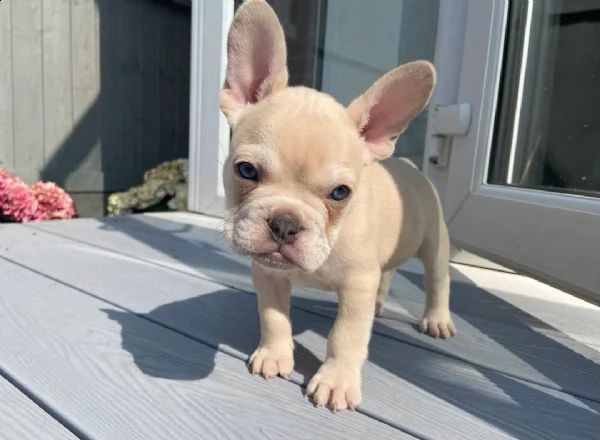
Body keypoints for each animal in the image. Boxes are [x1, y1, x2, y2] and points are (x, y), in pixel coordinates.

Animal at [219, 0, 454, 412]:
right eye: (246, 170)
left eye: (340, 193)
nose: (285, 223)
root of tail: (407, 166)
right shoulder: (268, 275)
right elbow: (273, 318)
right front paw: (274, 354)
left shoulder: (357, 285)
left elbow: (345, 336)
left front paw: (336, 381)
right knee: (388, 273)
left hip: (433, 242)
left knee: (438, 279)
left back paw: (437, 318)